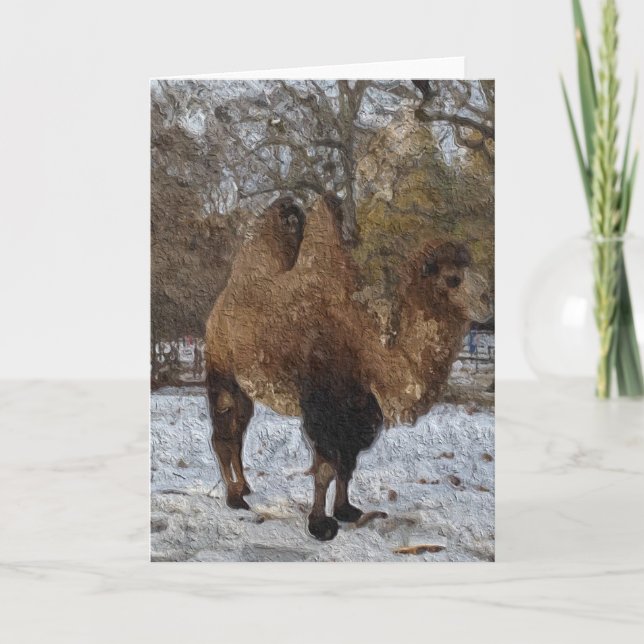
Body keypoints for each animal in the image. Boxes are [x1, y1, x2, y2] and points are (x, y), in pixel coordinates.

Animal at [205, 193, 492, 540]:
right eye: (453, 279)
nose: (487, 299)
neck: (366, 343)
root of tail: (221, 303)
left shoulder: (360, 409)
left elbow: (348, 464)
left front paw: (345, 510)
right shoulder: (323, 406)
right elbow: (326, 467)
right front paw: (319, 525)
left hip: (247, 385)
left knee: (239, 431)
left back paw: (245, 487)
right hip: (221, 370)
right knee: (223, 434)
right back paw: (234, 498)